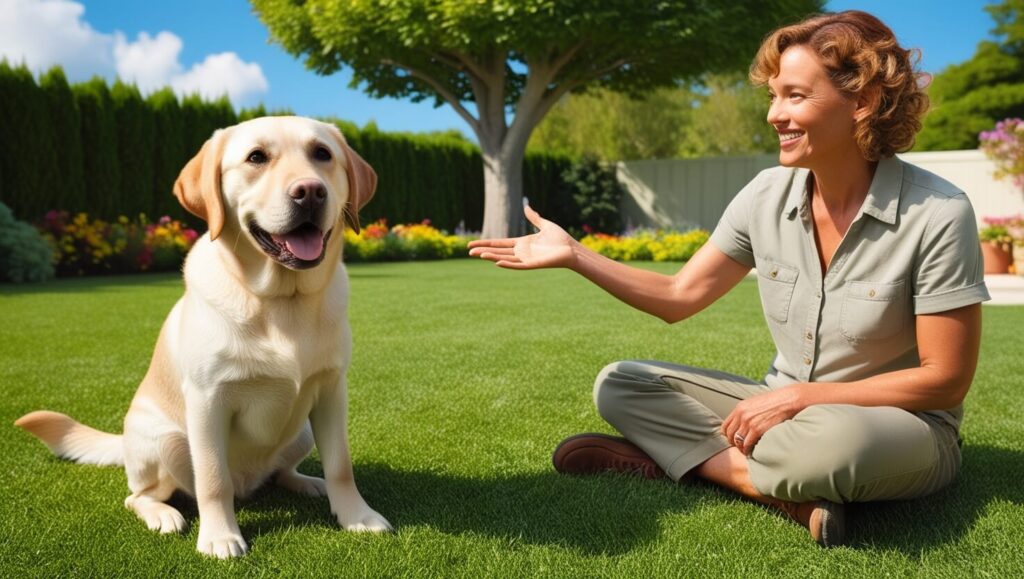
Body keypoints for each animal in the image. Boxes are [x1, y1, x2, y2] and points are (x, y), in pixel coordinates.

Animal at [16, 116, 391, 553]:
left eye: (322, 154)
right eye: (256, 157)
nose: (311, 192)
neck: (282, 301)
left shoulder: (332, 391)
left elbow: (341, 466)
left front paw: (357, 516)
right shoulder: (208, 400)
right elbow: (212, 479)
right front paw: (220, 537)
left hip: (299, 432)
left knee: (280, 472)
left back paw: (306, 482)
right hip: (167, 440)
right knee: (139, 495)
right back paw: (163, 514)